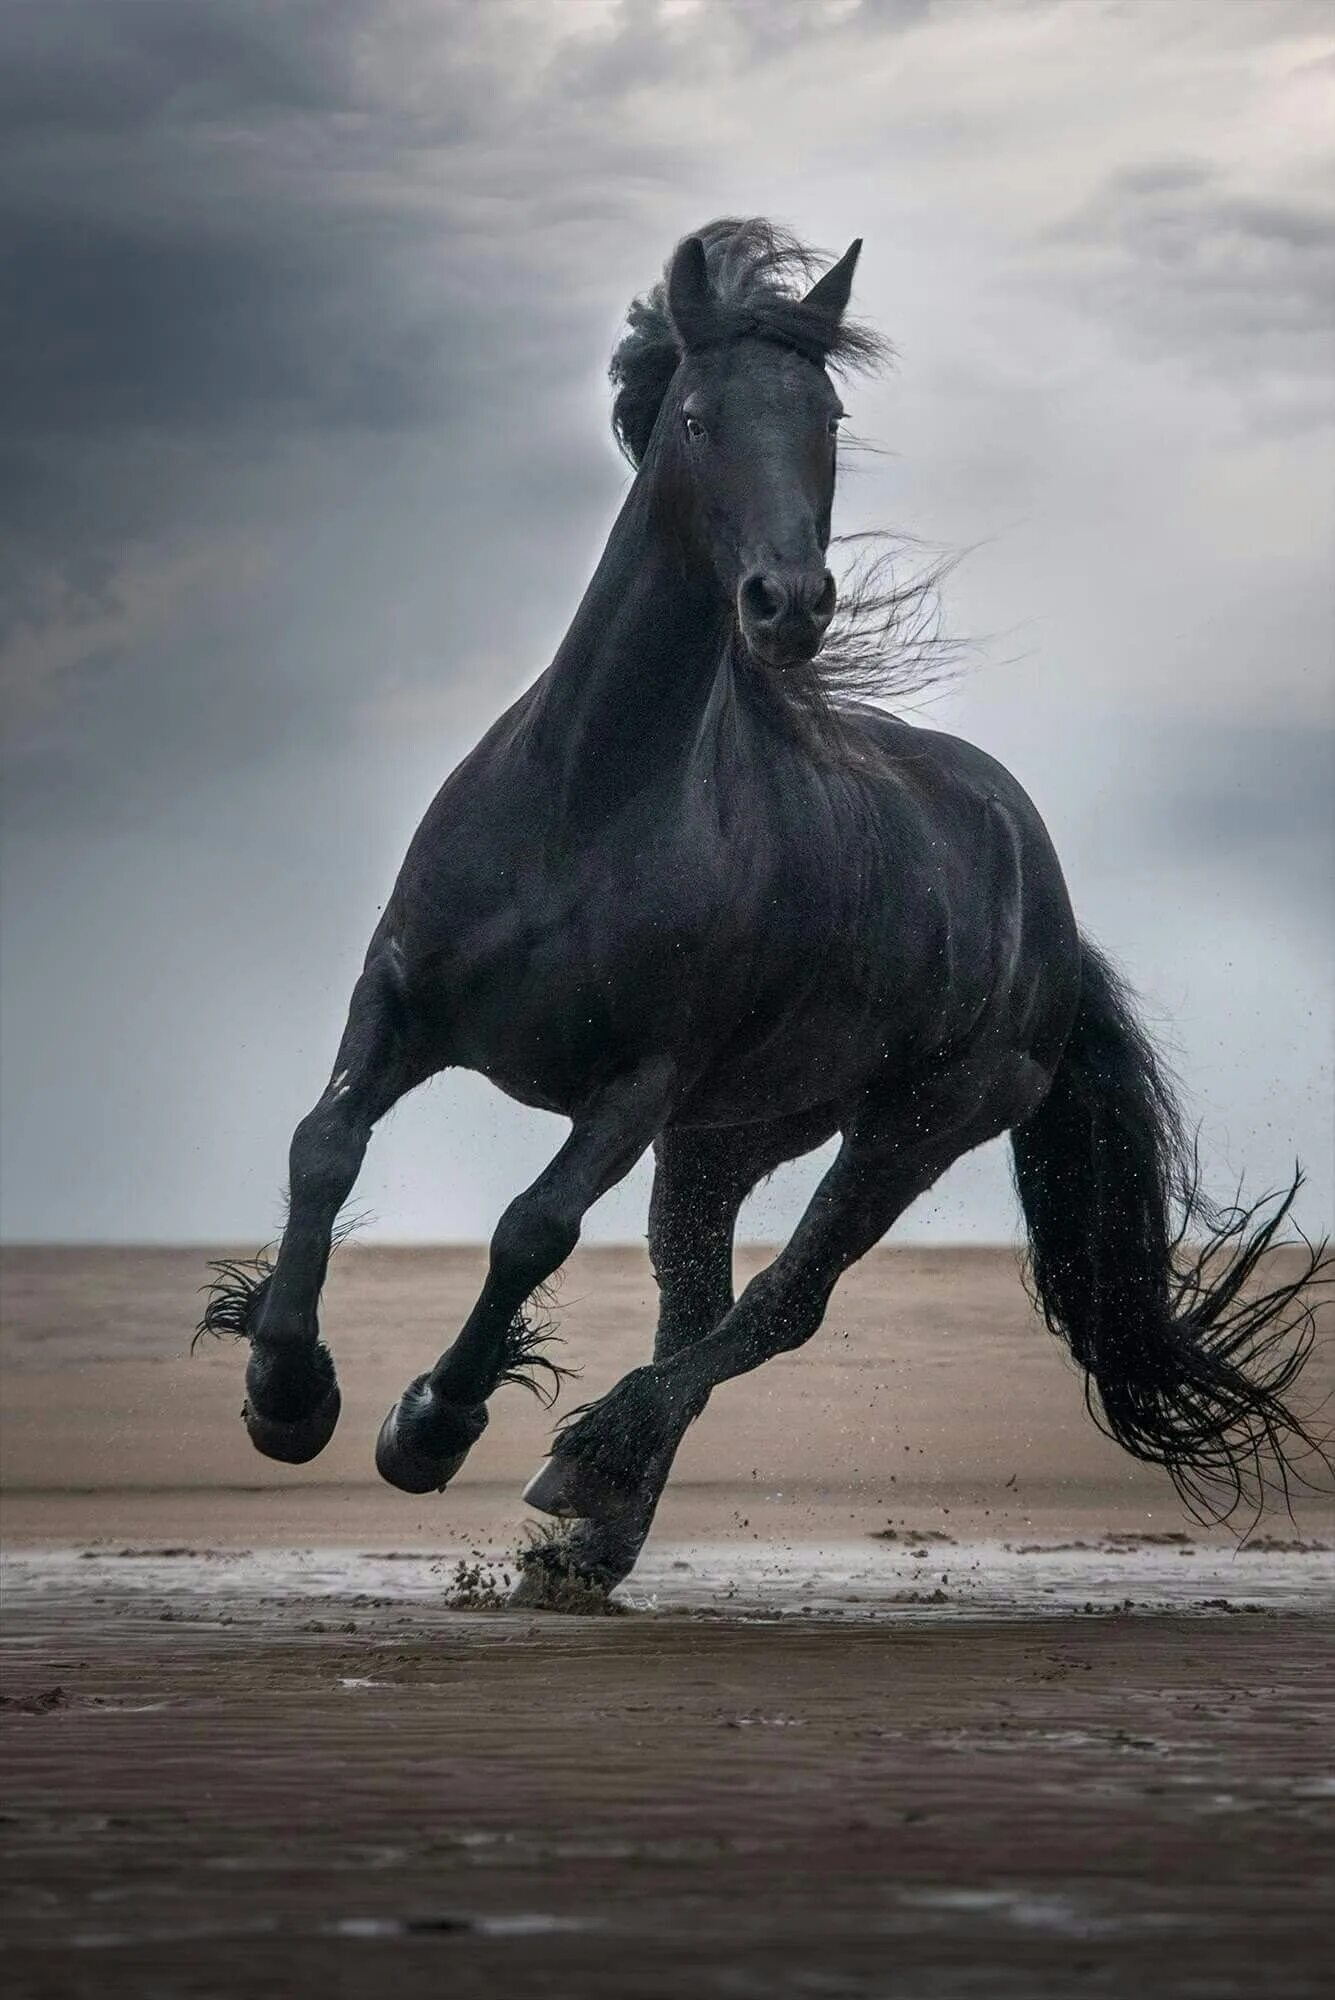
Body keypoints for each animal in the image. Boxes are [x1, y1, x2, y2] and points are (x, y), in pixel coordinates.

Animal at [197, 219, 1327, 1592]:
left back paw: (592, 1460)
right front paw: (285, 1389)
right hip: (730, 1136)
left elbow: (532, 1228)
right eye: (693, 417)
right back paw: (589, 1539)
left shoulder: (639, 1081)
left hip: (913, 1125)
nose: (787, 605)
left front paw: (429, 1425)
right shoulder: (405, 997)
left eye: (827, 416)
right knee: (699, 1297)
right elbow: (325, 1144)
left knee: (779, 1303)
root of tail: (1050, 904)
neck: (587, 801)